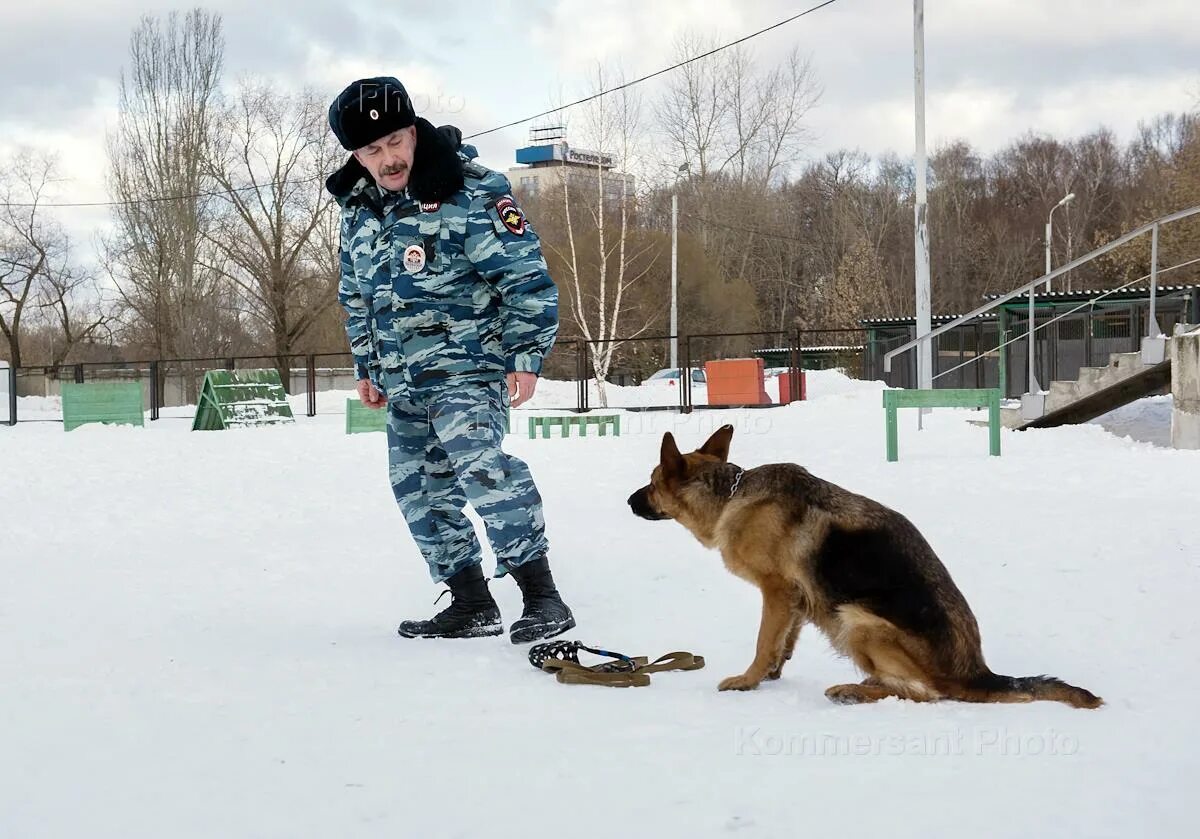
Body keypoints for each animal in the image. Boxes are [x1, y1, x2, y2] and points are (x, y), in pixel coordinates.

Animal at [633, 427, 1099, 710]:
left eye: (652, 483)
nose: (628, 500)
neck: (732, 495)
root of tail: (977, 673)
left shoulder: (777, 591)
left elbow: (764, 641)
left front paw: (748, 680)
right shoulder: (797, 598)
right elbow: (784, 642)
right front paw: (771, 674)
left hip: (855, 620)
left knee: (927, 692)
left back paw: (853, 690)